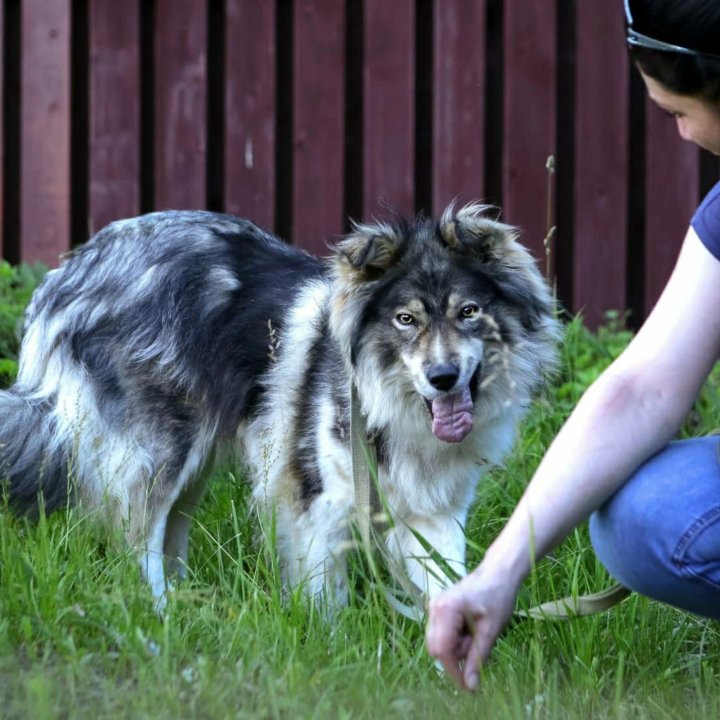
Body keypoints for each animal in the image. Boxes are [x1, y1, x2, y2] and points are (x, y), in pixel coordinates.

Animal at [0, 204, 560, 608]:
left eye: (469, 312)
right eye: (406, 319)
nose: (441, 378)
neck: (390, 404)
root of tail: (65, 276)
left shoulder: (435, 515)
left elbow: (447, 588)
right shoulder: (317, 504)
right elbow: (325, 601)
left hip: (194, 460)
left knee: (168, 535)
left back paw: (188, 606)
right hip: (159, 451)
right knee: (140, 542)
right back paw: (161, 620)